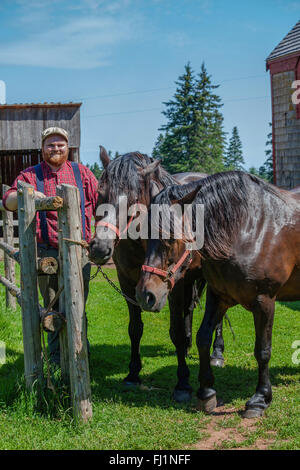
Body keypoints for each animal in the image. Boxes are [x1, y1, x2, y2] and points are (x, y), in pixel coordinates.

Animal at [89, 147, 225, 400]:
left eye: (133, 199)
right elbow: (135, 329)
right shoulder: (127, 282)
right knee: (189, 310)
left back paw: (217, 353)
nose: (99, 248)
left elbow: (176, 331)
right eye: (100, 193)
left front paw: (182, 383)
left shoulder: (174, 285)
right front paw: (133, 374)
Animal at [135, 172, 300, 418]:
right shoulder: (218, 296)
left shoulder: (264, 301)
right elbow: (202, 338)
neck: (247, 230)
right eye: (146, 238)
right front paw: (207, 392)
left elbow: (262, 350)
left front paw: (260, 399)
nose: (146, 295)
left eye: (171, 238)